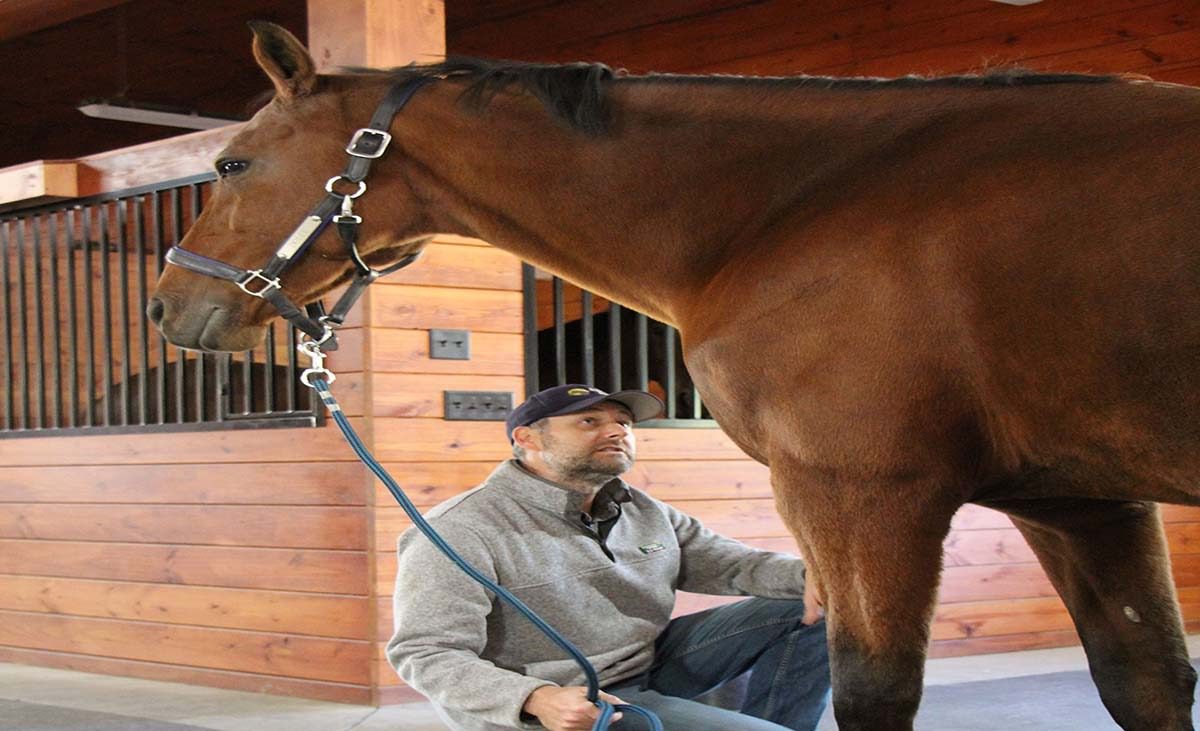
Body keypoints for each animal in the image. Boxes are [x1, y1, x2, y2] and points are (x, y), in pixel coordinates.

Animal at [148, 22, 1200, 730]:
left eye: (231, 162)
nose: (166, 306)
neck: (793, 207)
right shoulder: (1078, 501)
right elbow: (1145, 677)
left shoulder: (861, 491)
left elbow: (874, 689)